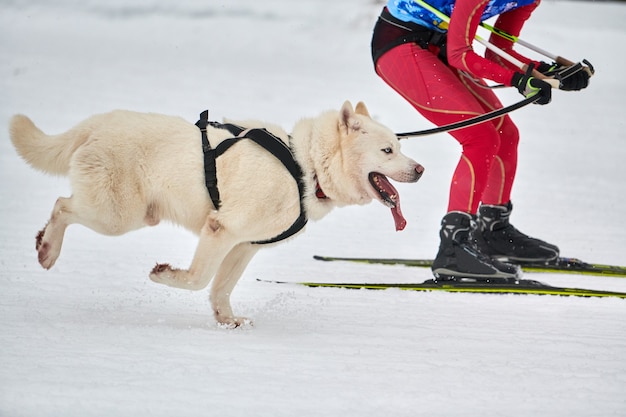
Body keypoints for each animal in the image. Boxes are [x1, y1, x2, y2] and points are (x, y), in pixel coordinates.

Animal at [9, 100, 422, 324]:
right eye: (388, 151)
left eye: (400, 147)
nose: (420, 169)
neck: (306, 169)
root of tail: (95, 124)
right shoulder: (220, 230)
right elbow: (198, 279)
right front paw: (164, 276)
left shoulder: (243, 246)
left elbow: (220, 288)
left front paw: (227, 320)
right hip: (116, 215)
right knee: (61, 205)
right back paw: (47, 250)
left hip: (132, 214)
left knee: (63, 204)